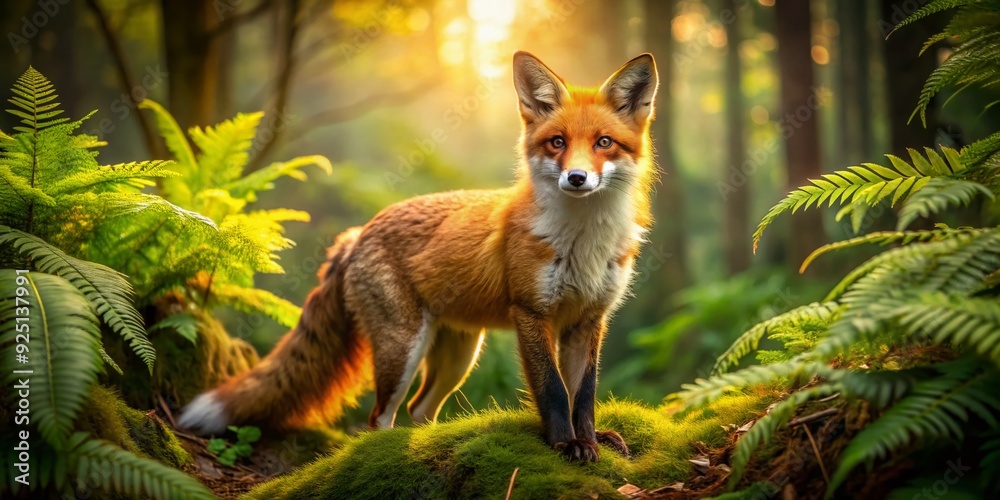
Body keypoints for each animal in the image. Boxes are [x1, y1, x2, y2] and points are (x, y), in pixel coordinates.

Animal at [179, 51, 659, 462]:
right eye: (557, 142)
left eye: (603, 143)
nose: (577, 178)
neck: (583, 242)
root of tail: (357, 233)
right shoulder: (531, 313)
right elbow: (554, 392)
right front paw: (564, 446)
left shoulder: (588, 320)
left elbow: (585, 396)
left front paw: (590, 442)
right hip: (403, 348)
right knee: (379, 418)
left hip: (458, 355)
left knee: (420, 410)